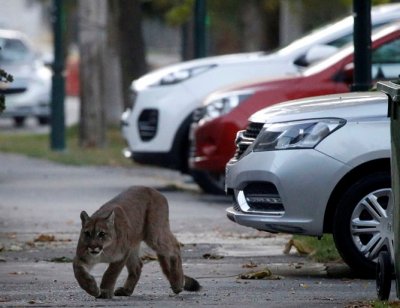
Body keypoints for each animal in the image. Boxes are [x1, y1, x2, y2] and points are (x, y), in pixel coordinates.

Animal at [72, 185, 200, 298]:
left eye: (101, 234)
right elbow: (78, 273)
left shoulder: (121, 255)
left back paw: (177, 283)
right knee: (137, 265)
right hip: (133, 244)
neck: (104, 251)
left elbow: (110, 273)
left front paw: (105, 291)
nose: (93, 247)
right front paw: (92, 288)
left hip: (154, 235)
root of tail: (154, 191)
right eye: (87, 233)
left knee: (174, 246)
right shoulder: (81, 257)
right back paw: (126, 290)